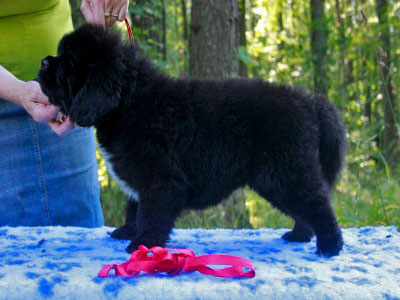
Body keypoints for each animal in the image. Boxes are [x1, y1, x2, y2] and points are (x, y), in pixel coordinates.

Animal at [39, 24, 348, 256]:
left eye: (68, 62)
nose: (43, 62)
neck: (131, 103)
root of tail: (311, 102)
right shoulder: (142, 179)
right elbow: (134, 207)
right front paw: (128, 232)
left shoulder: (161, 180)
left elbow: (151, 215)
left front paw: (143, 246)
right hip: (277, 178)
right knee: (305, 208)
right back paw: (300, 236)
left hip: (285, 171)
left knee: (317, 202)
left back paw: (330, 245)